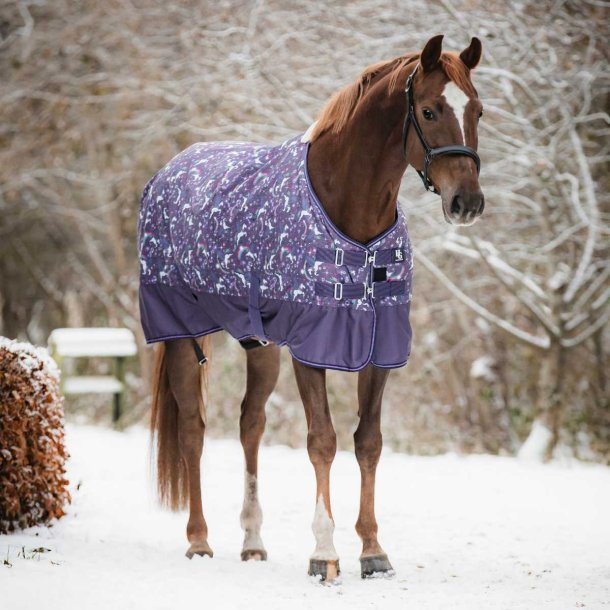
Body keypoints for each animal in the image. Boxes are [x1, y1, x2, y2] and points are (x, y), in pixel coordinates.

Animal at [146, 35, 480, 580]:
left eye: (478, 110)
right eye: (429, 110)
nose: (467, 202)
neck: (348, 209)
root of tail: (168, 172)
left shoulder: (379, 346)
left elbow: (369, 442)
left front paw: (372, 550)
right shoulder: (312, 347)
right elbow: (322, 441)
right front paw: (324, 553)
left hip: (258, 343)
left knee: (250, 425)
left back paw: (253, 541)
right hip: (178, 331)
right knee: (193, 427)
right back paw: (198, 540)